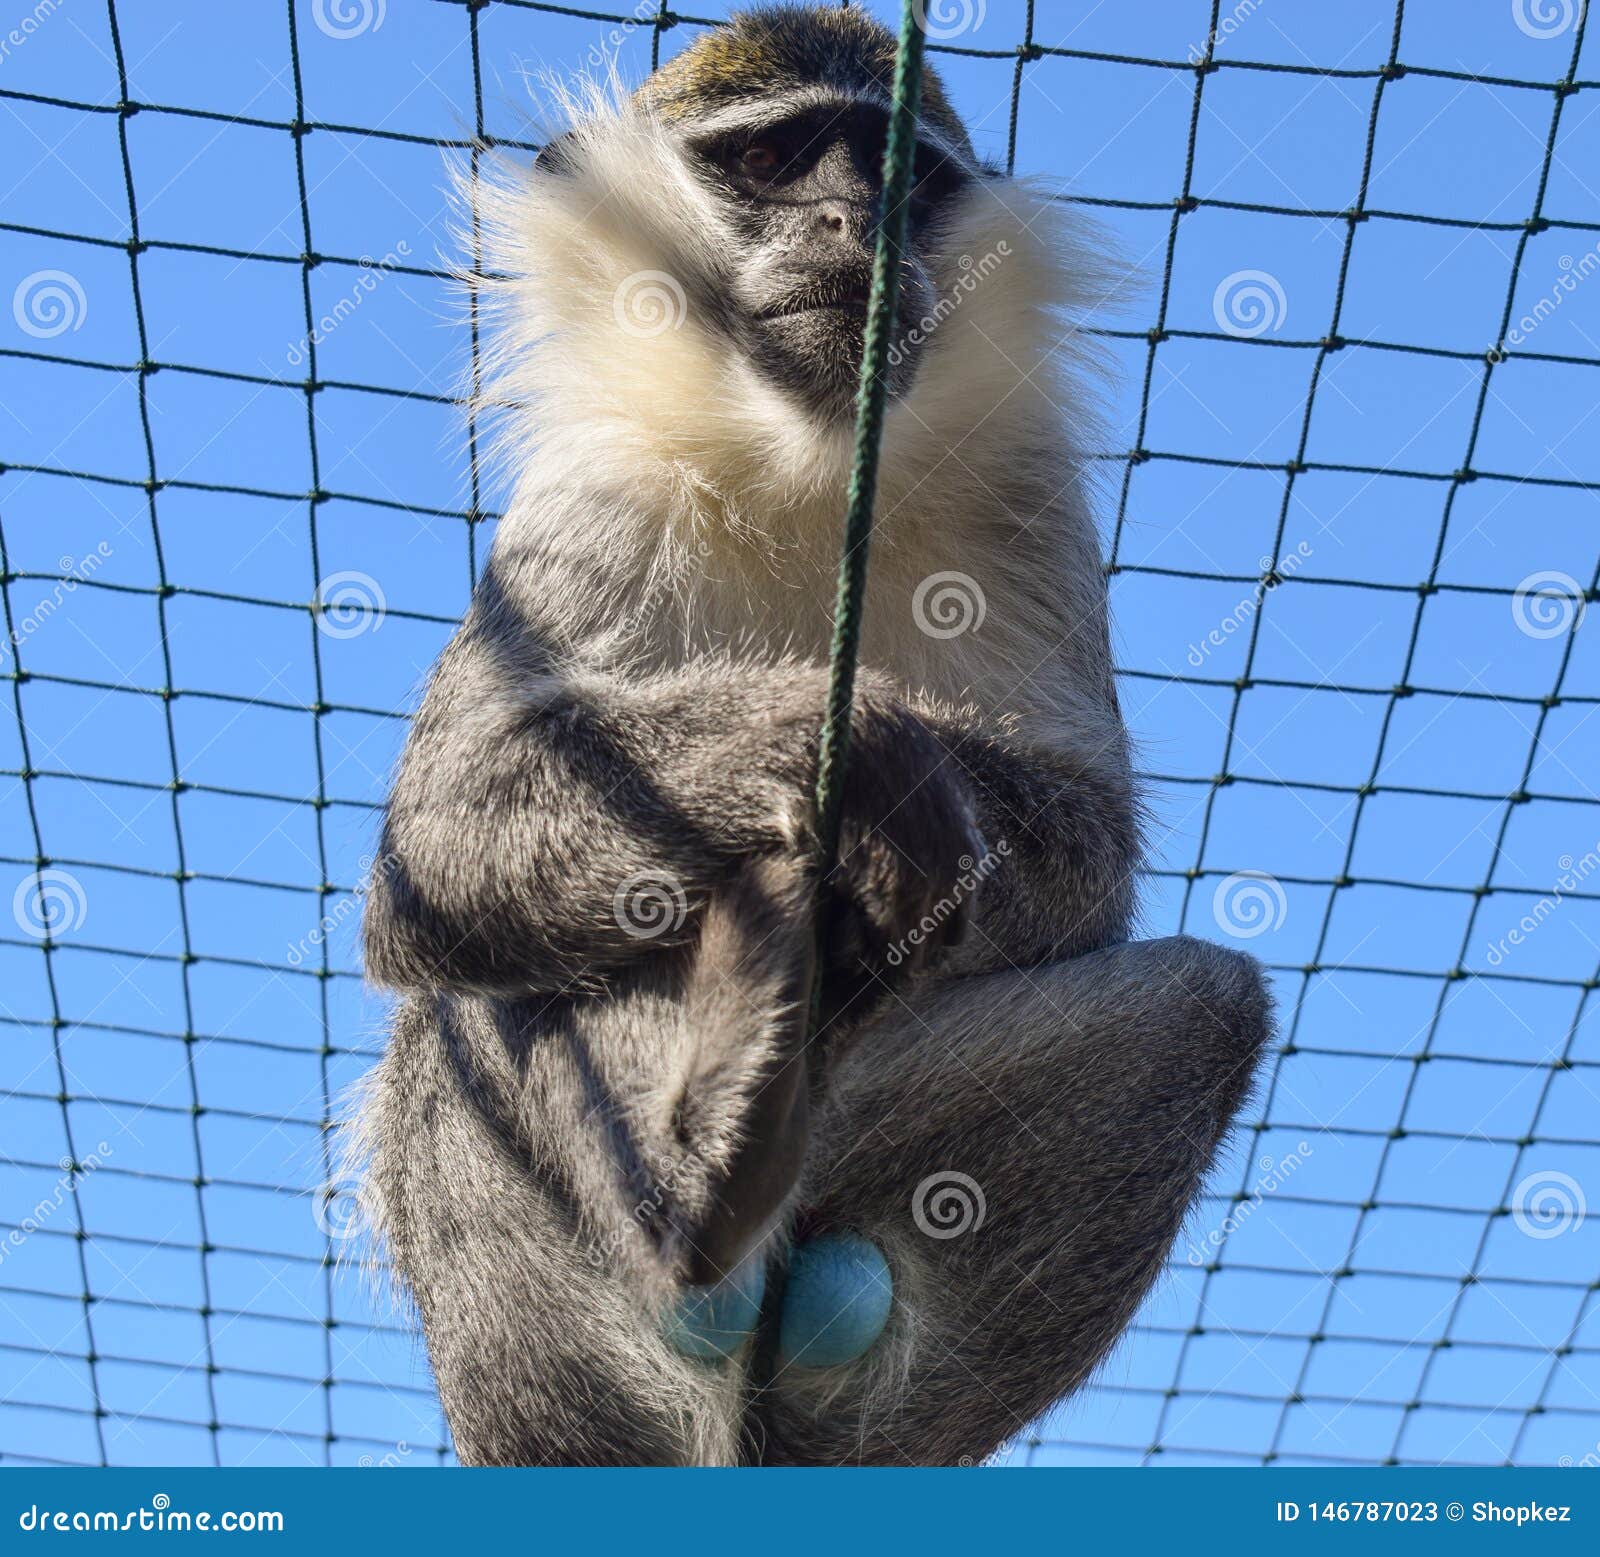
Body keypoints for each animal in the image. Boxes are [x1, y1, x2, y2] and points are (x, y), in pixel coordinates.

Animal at [356, 0, 1267, 1465]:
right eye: (773, 159)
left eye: (905, 183)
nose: (852, 223)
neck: (800, 466)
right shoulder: (595, 493)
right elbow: (436, 839)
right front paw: (853, 755)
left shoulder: (1030, 503)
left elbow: (1089, 840)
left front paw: (920, 805)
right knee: (454, 1011)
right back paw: (703, 1161)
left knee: (1206, 1008)